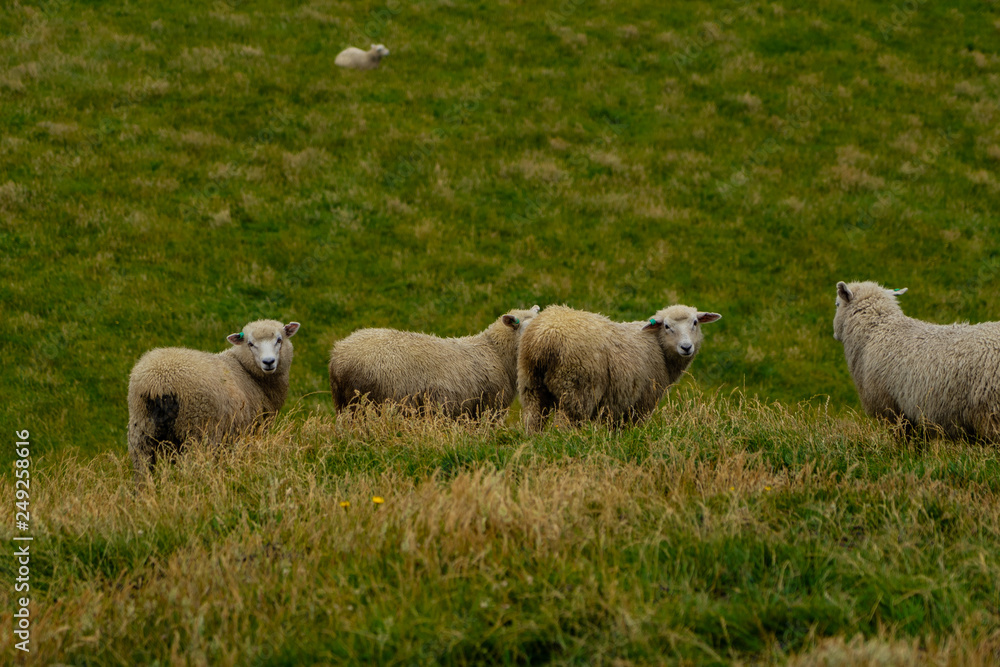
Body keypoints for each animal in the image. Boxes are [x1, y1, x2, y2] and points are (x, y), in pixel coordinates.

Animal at [127, 320, 300, 483]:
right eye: (250, 344)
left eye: (279, 339)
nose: (268, 362)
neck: (246, 371)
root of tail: (160, 384)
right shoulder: (249, 432)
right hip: (198, 433)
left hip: (141, 435)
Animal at [518, 305, 721, 432]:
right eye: (666, 326)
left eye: (695, 323)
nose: (686, 347)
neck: (658, 346)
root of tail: (545, 338)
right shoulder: (643, 402)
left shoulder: (617, 405)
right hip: (576, 389)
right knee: (563, 425)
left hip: (531, 385)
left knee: (532, 421)